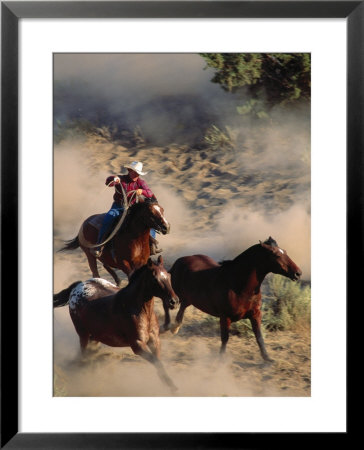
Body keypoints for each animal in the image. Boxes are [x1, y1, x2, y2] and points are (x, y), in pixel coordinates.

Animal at [52, 256, 179, 394]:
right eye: (155, 279)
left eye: (168, 275)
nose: (174, 301)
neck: (138, 309)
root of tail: (78, 286)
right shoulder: (137, 344)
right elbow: (156, 361)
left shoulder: (154, 339)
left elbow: (159, 362)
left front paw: (172, 386)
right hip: (83, 334)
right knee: (84, 354)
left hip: (95, 336)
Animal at [164, 236, 302, 362]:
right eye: (276, 255)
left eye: (285, 251)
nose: (298, 273)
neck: (239, 286)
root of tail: (178, 262)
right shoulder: (225, 317)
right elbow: (225, 338)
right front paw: (221, 359)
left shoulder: (255, 314)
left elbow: (259, 336)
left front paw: (267, 358)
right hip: (175, 296)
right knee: (169, 305)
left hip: (188, 299)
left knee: (182, 309)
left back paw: (175, 327)